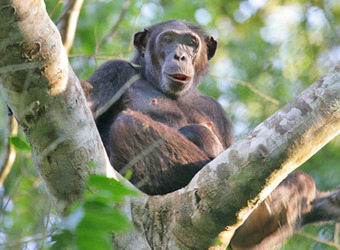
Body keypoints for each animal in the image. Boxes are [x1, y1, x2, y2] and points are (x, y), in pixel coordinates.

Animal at [82, 20, 340, 250]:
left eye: (190, 43)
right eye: (167, 39)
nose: (180, 56)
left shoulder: (217, 111)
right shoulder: (112, 71)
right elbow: (88, 102)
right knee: (126, 125)